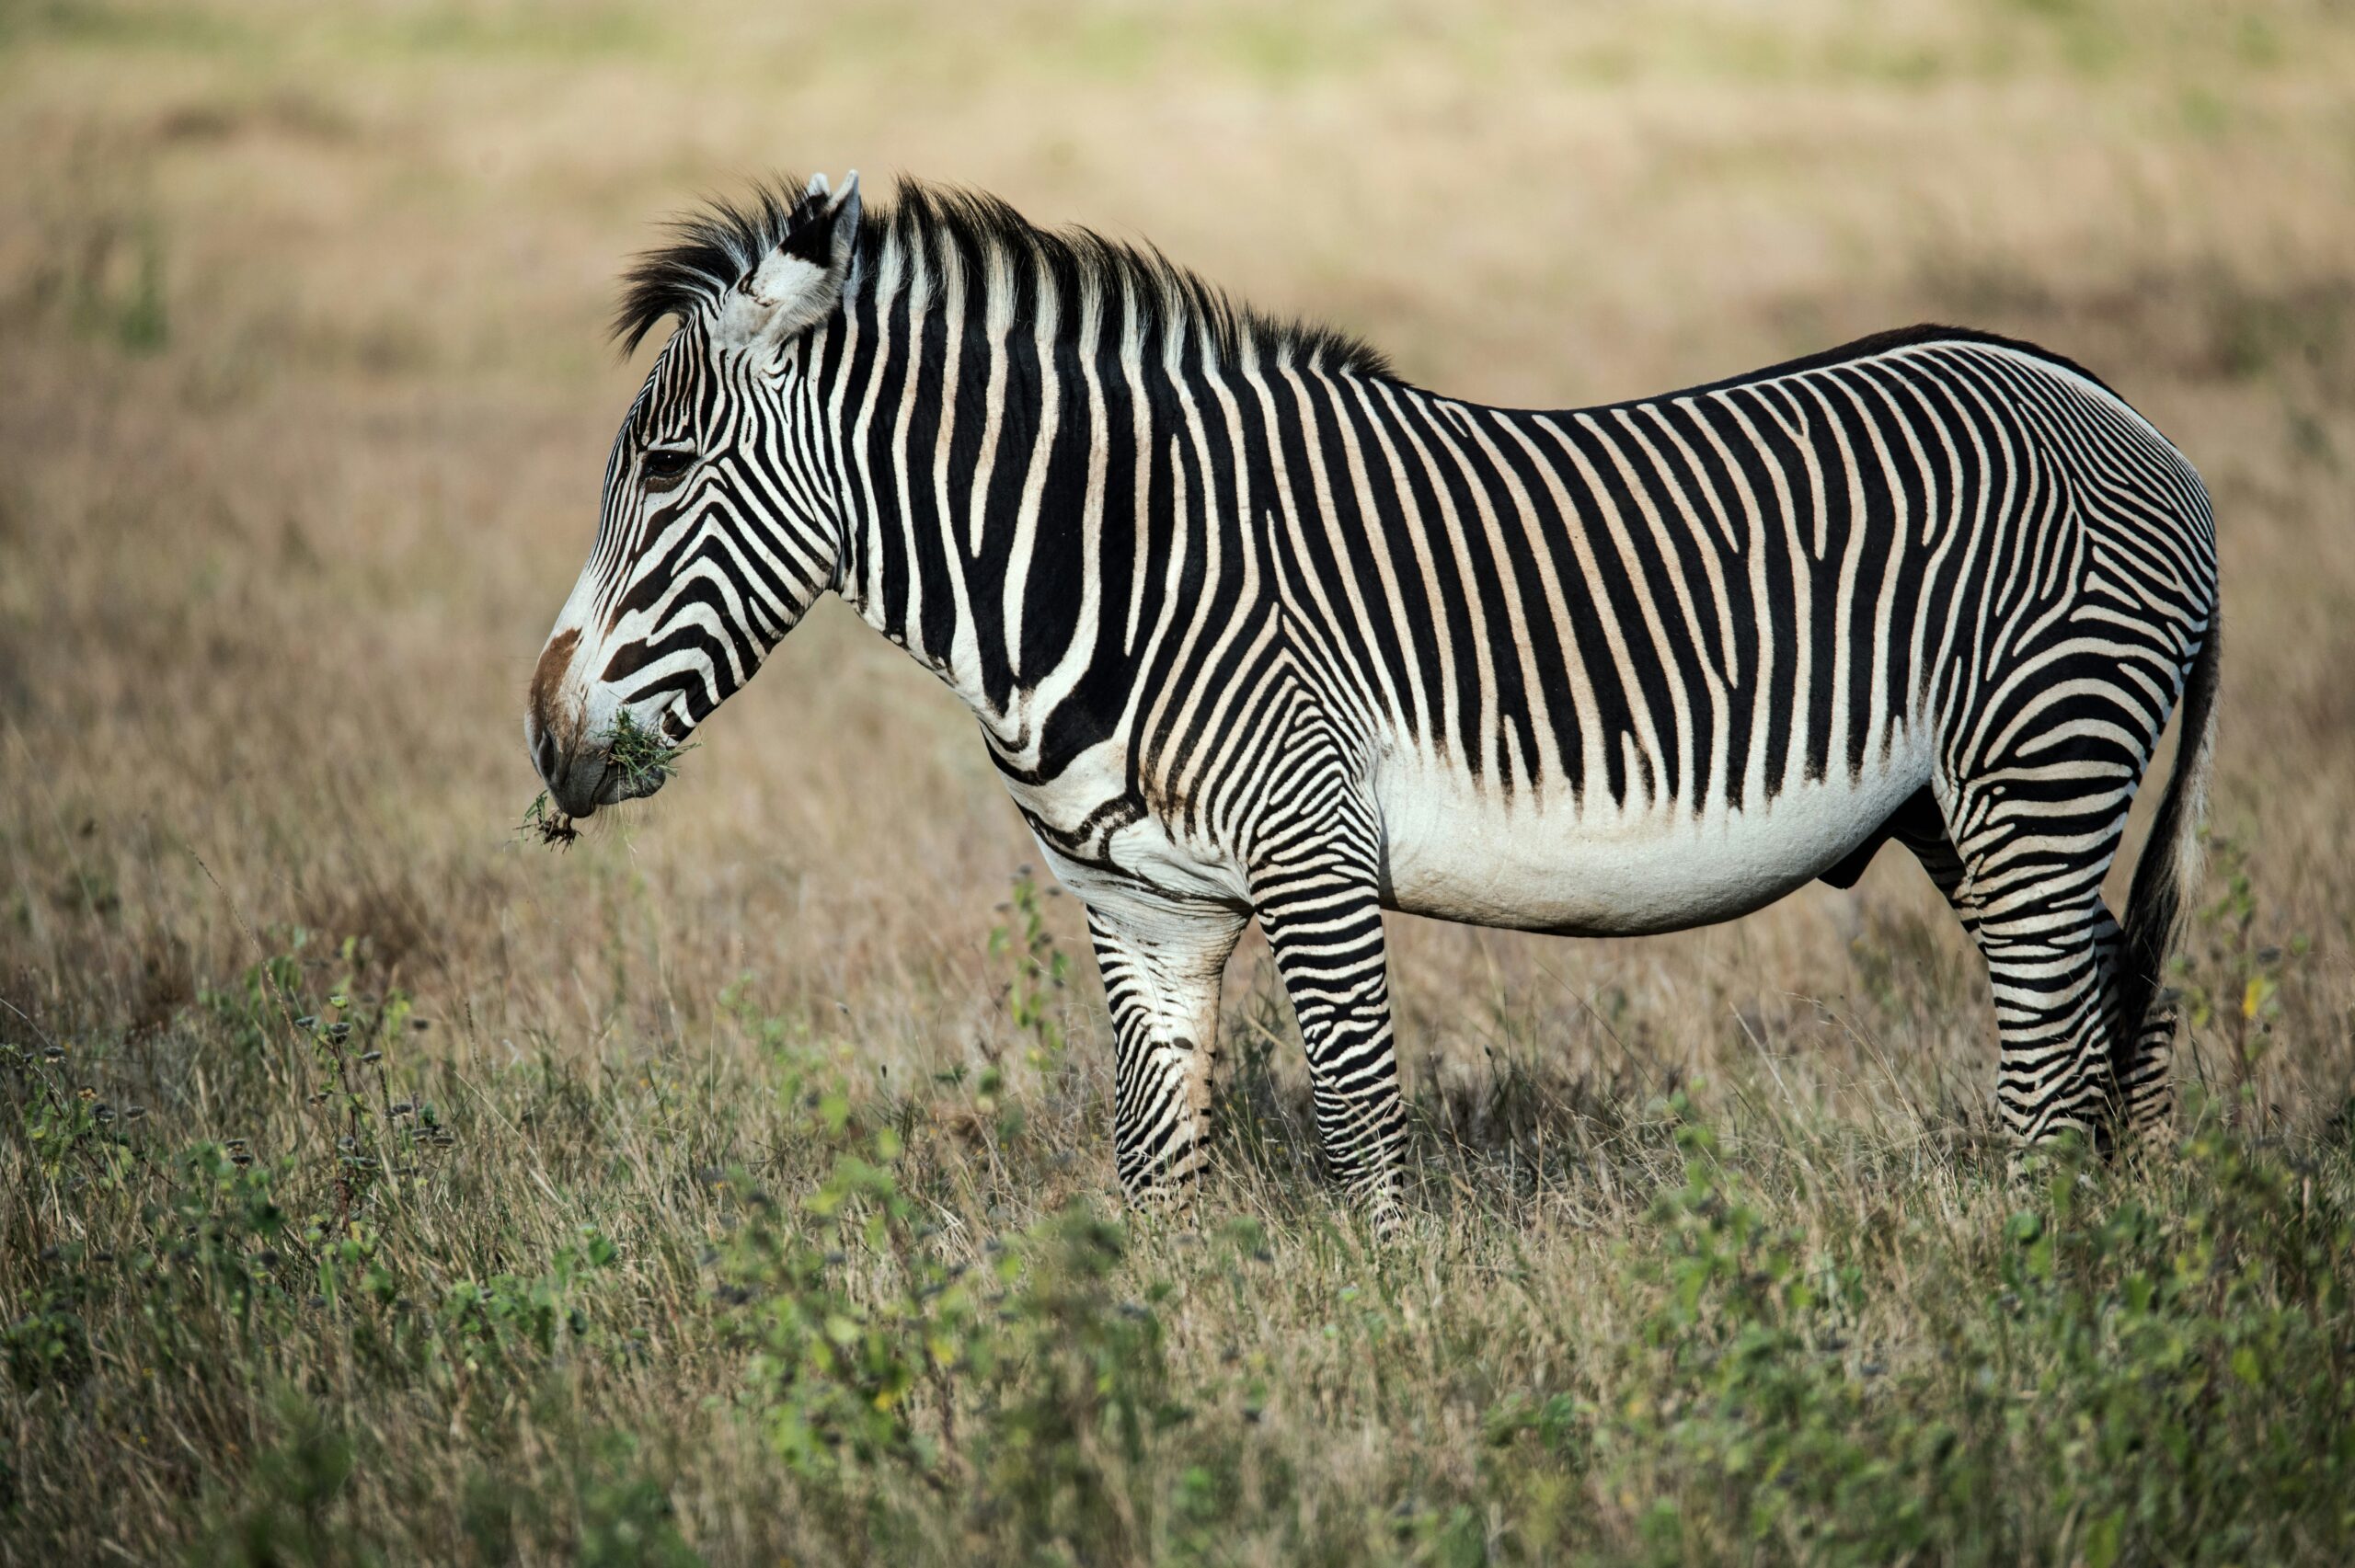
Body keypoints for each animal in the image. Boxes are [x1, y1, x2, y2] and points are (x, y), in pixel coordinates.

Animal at [527, 172, 2220, 1227]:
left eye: (664, 468)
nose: (544, 738)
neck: (1112, 570)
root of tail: (2121, 413)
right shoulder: (1141, 907)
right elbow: (1153, 1163)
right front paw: (1138, 1379)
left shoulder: (1313, 853)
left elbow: (1359, 1119)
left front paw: (1406, 1328)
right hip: (1967, 806)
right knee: (2106, 1010)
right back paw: (2102, 1258)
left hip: (2039, 767)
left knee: (2051, 1049)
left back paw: (2028, 1273)